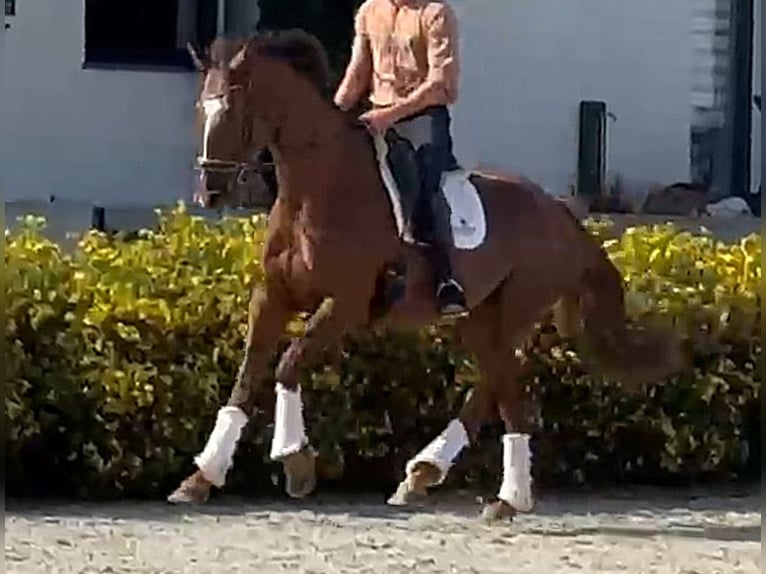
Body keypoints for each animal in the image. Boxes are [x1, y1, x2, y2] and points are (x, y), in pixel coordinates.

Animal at [168, 31, 684, 520]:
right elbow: (247, 376)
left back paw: (506, 497)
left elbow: (288, 364)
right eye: (200, 108)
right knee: (491, 386)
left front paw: (295, 462)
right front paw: (201, 478)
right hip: (480, 317)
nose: (209, 192)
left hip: (511, 311)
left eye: (233, 110)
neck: (317, 191)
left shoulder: (346, 304)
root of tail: (562, 215)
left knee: (506, 390)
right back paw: (425, 474)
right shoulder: (273, 296)